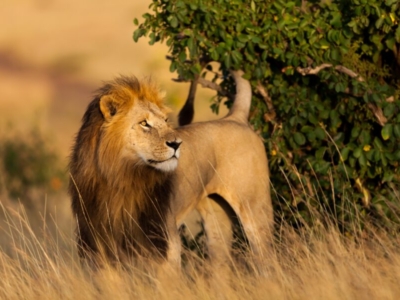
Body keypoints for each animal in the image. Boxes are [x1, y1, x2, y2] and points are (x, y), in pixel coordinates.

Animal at [69, 70, 276, 272]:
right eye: (144, 123)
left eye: (166, 121)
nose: (177, 143)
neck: (120, 178)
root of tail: (236, 117)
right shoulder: (98, 247)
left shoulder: (166, 244)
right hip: (217, 222)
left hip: (255, 210)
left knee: (267, 257)